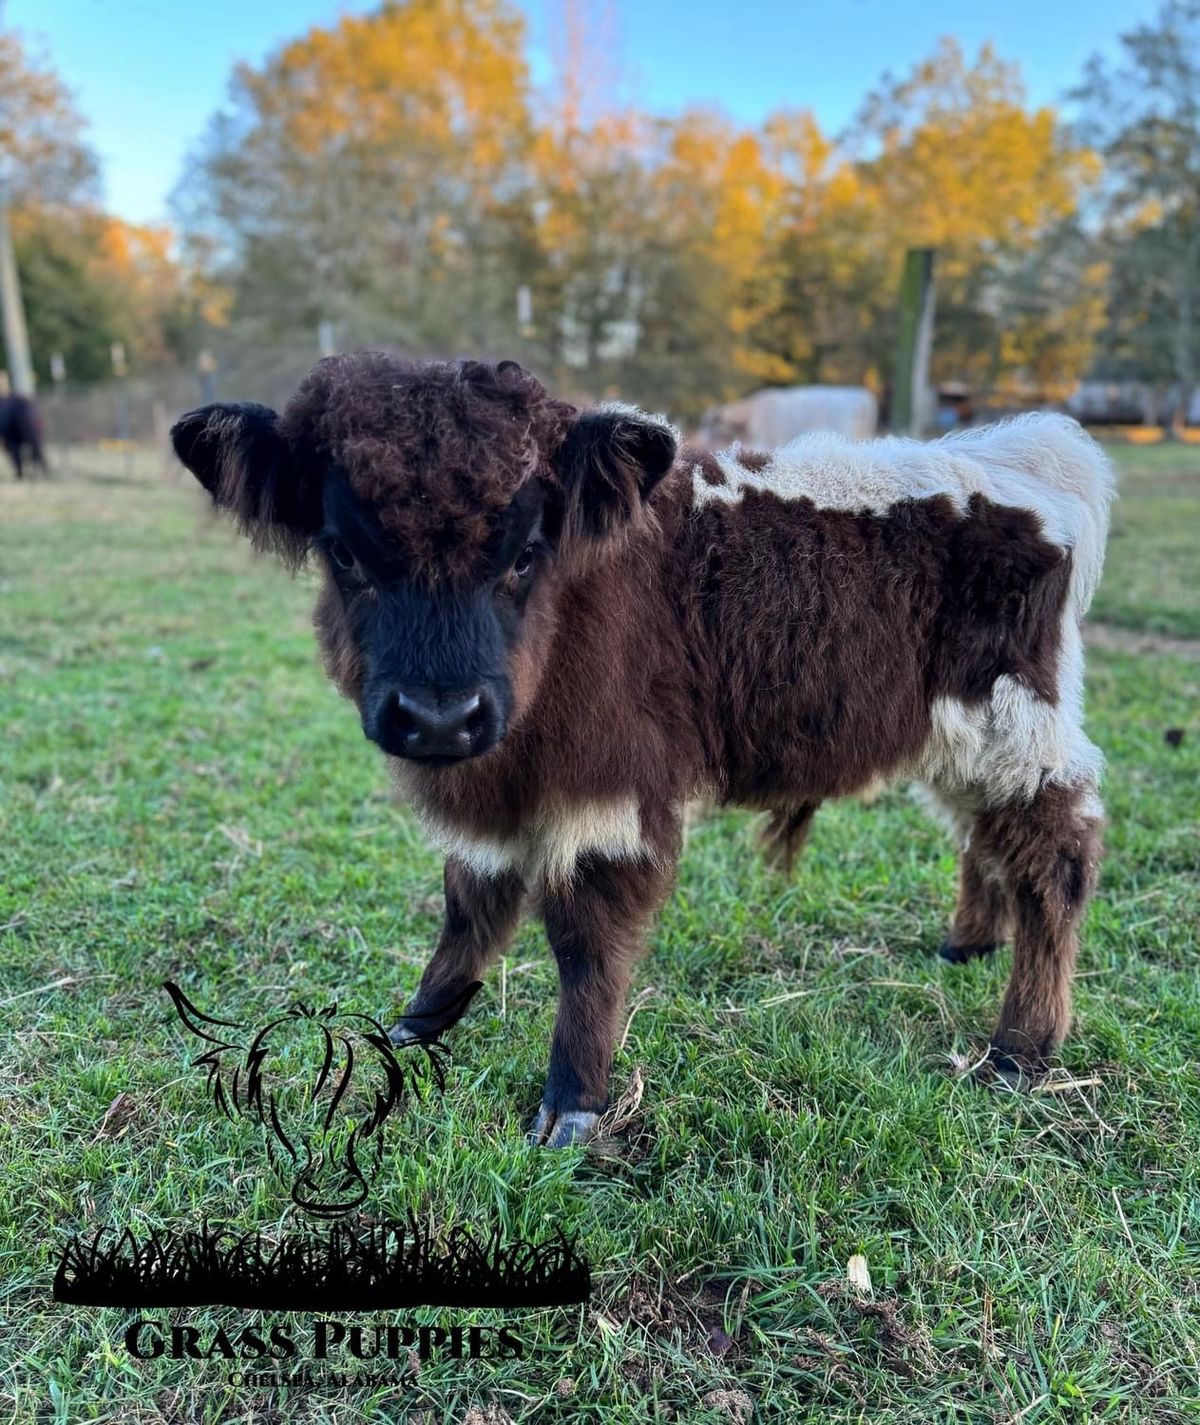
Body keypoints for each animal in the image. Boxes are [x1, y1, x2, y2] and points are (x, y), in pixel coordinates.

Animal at [173, 353, 1105, 1145]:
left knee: (1055, 855)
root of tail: (1021, 450)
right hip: (953, 741)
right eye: (343, 551)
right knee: (983, 835)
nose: (439, 717)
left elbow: (586, 939)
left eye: (527, 549)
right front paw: (419, 1018)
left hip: (1015, 726)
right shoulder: (495, 795)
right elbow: (470, 898)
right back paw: (969, 942)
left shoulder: (608, 790)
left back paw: (1022, 1045)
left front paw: (573, 1101)